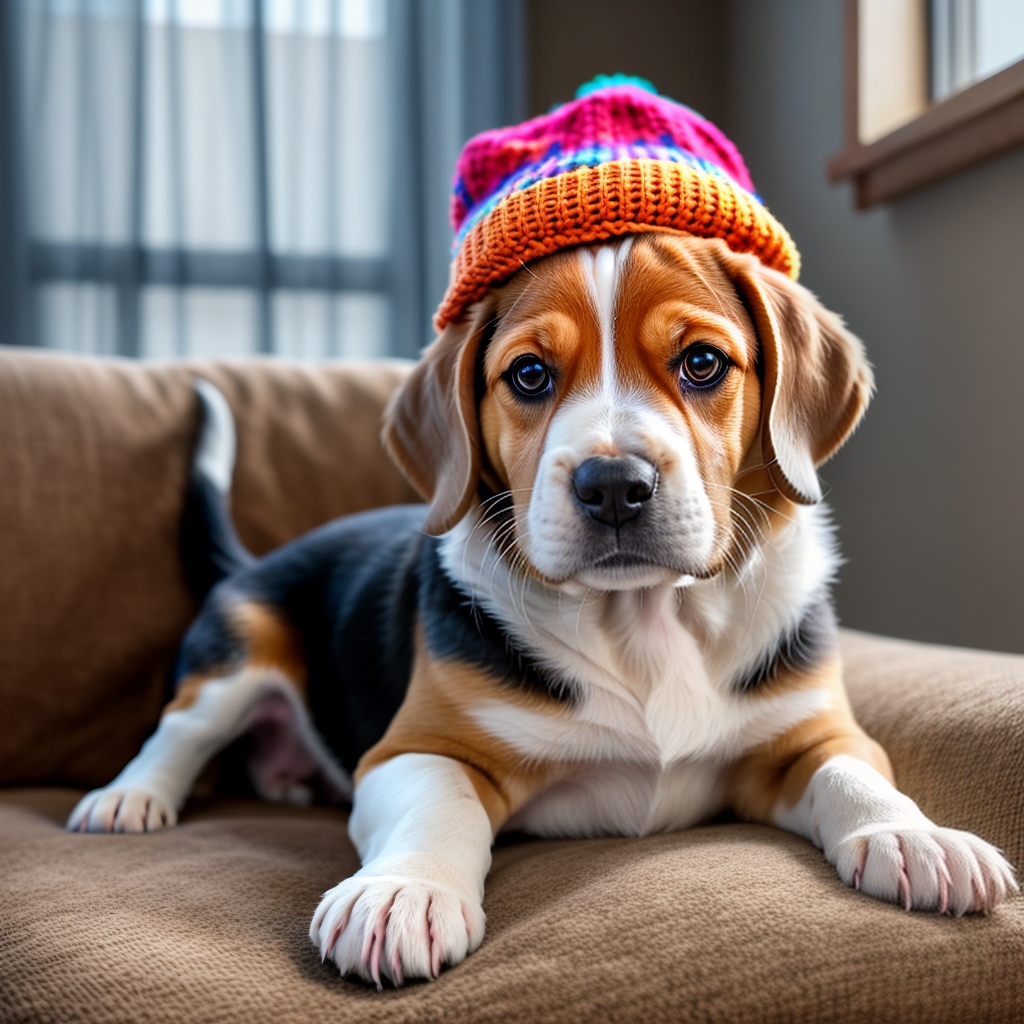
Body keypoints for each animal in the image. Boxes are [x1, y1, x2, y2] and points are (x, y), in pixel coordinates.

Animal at [68, 232, 1019, 983]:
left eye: (702, 362)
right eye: (529, 375)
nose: (614, 485)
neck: (643, 624)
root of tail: (259, 560)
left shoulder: (808, 734)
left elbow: (855, 777)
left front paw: (915, 837)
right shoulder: (417, 749)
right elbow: (440, 806)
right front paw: (404, 892)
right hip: (236, 652)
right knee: (180, 732)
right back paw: (129, 799)